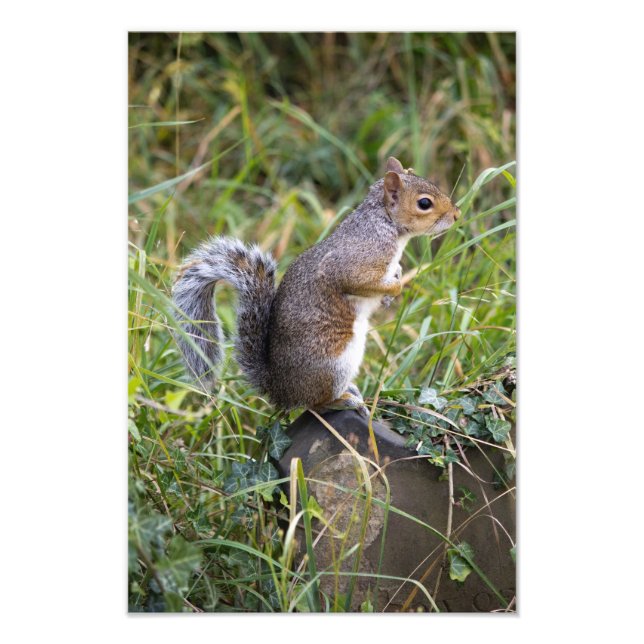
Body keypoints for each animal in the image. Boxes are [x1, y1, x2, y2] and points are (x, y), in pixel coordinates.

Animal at [172, 156, 460, 415]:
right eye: (424, 203)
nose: (457, 214)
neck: (384, 225)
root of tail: (280, 390)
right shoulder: (355, 263)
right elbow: (358, 282)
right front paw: (394, 290)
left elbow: (394, 272)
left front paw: (394, 286)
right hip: (333, 365)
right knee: (314, 404)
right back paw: (342, 401)